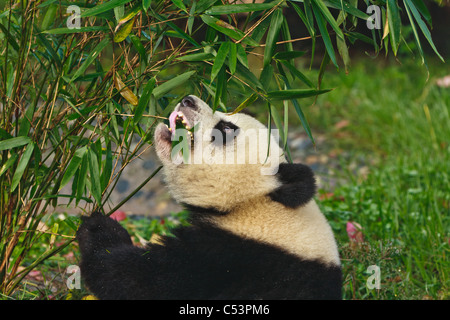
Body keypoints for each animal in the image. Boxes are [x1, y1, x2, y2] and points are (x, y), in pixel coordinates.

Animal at [76, 94, 342, 298]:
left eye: (226, 128)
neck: (255, 205)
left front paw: (98, 228)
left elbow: (139, 280)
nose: (188, 100)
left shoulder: (230, 259)